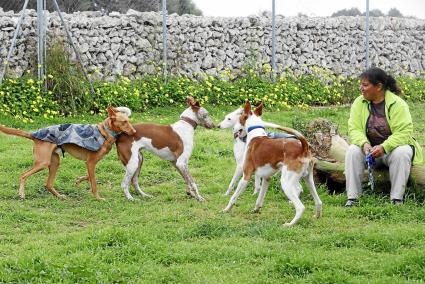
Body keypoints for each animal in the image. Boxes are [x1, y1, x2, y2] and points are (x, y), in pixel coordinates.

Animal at [0, 106, 135, 200]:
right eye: (124, 122)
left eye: (129, 121)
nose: (134, 132)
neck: (104, 132)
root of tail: (34, 135)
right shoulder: (90, 162)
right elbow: (94, 183)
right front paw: (98, 198)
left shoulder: (89, 163)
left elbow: (89, 176)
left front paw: (78, 180)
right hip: (43, 163)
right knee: (23, 175)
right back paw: (21, 193)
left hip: (55, 162)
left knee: (48, 184)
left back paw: (59, 196)